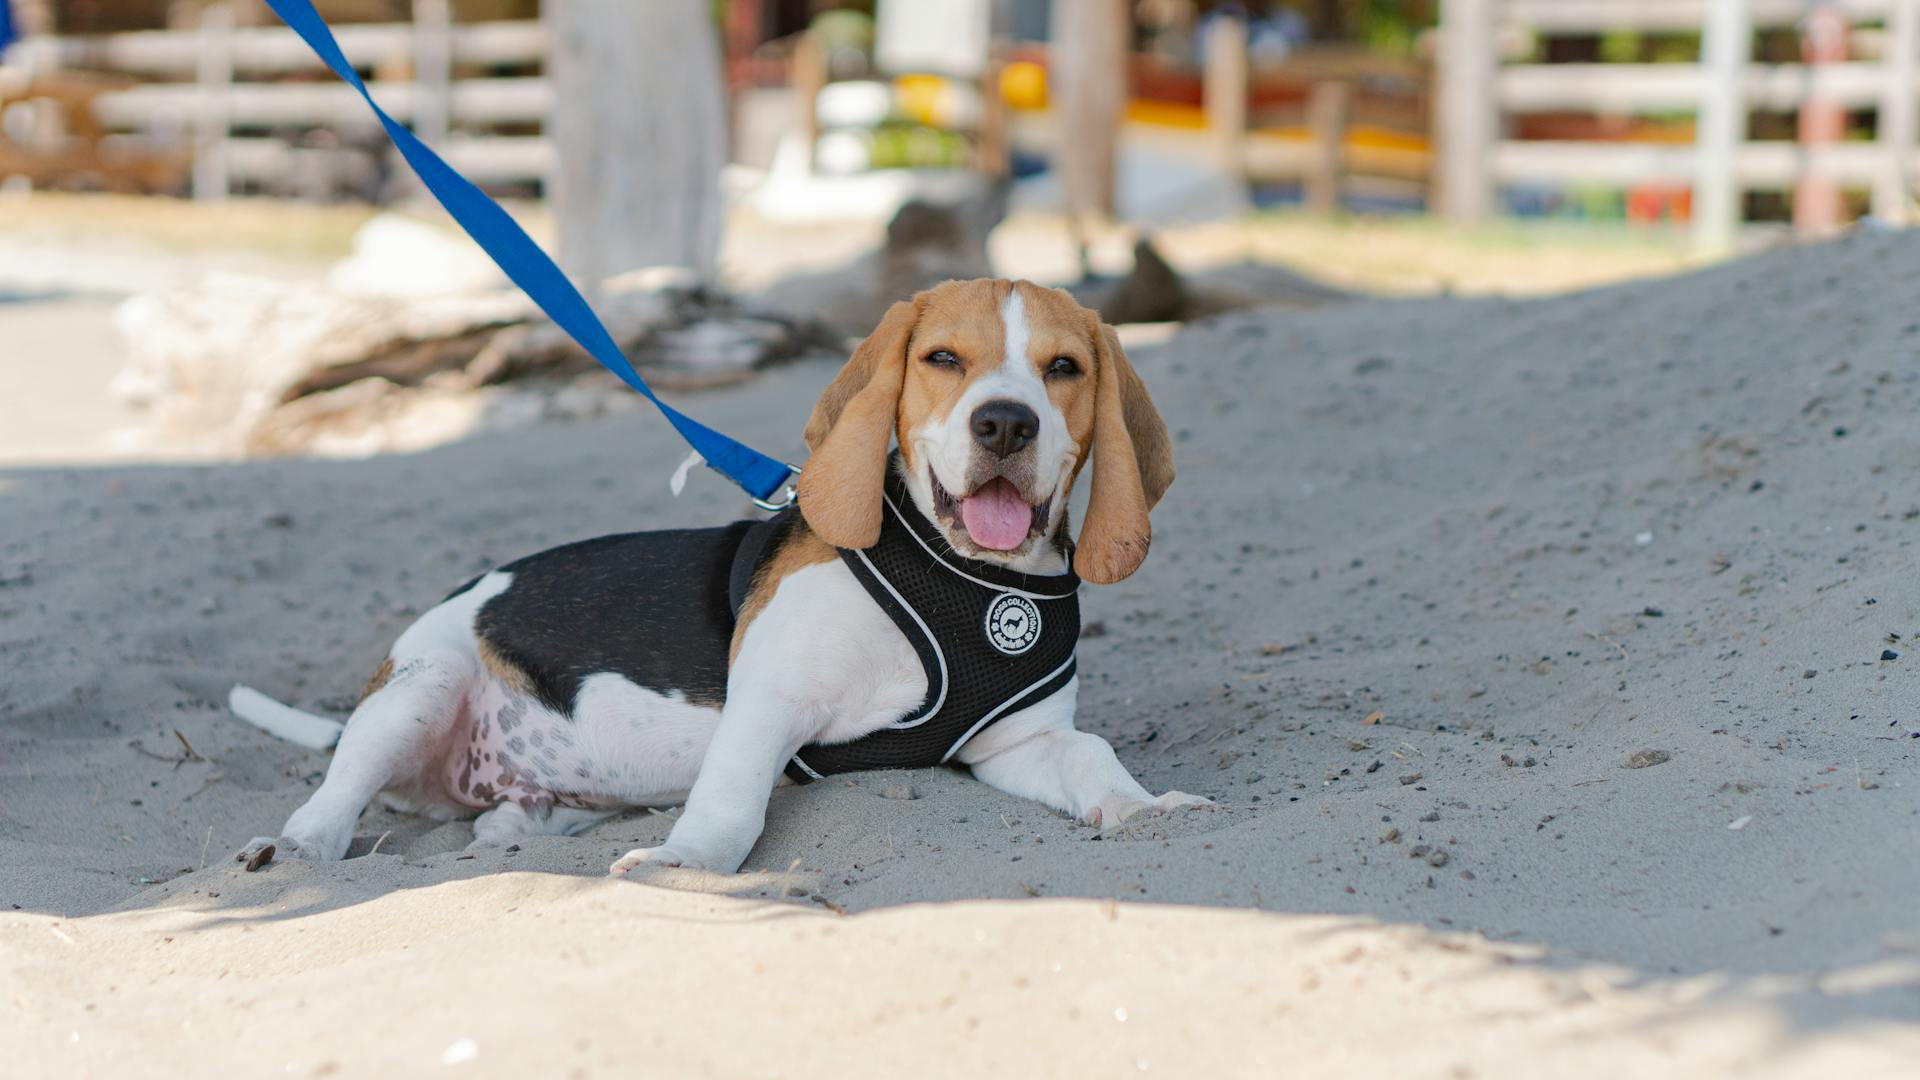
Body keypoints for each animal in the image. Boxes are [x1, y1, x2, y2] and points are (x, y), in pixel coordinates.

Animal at [236, 278, 1198, 876]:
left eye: (1064, 368)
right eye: (943, 360)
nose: (1004, 423)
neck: (962, 577)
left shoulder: (1017, 744)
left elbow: (1094, 756)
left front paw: (1141, 806)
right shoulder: (770, 702)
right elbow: (733, 804)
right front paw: (687, 865)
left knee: (506, 815)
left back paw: (509, 830)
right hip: (422, 685)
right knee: (332, 801)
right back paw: (290, 852)